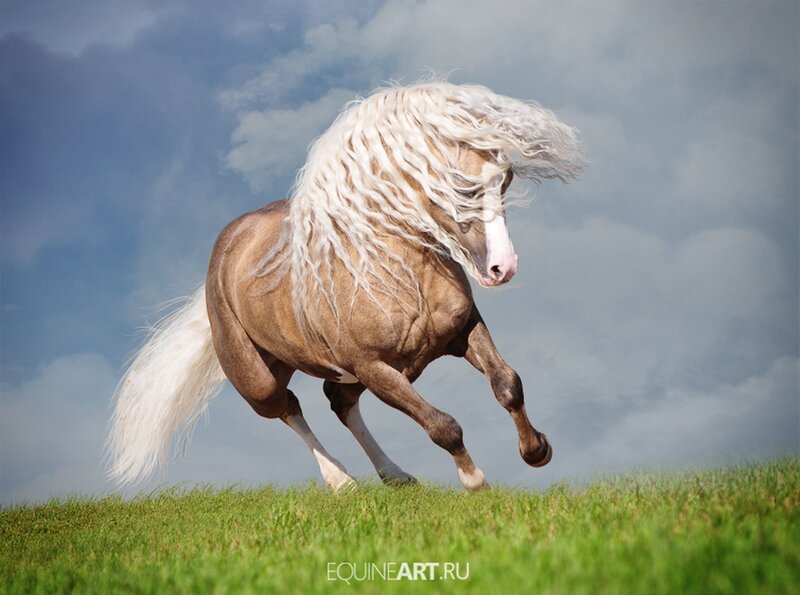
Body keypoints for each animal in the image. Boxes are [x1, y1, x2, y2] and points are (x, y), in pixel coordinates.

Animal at [107, 81, 583, 492]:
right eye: (462, 188)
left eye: (506, 179)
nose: (503, 268)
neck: (392, 268)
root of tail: (229, 244)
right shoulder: (374, 368)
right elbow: (442, 426)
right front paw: (474, 481)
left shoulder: (460, 331)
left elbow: (507, 383)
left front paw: (537, 450)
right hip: (259, 380)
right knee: (290, 407)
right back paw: (341, 482)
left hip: (364, 371)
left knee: (338, 400)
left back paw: (395, 476)